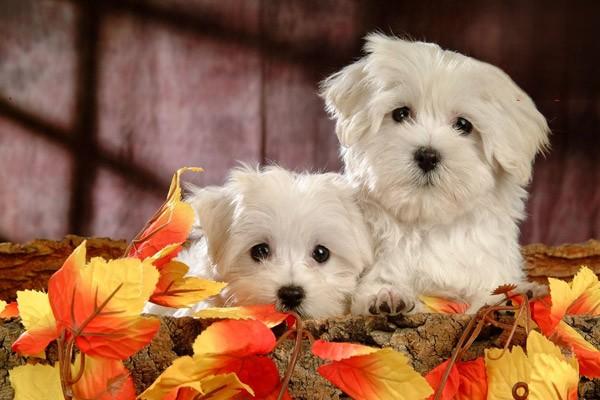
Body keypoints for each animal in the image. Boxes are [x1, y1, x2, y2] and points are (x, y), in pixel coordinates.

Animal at [322, 33, 552, 316]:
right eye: (400, 113)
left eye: (463, 125)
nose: (427, 156)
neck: (429, 224)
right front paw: (386, 295)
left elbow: (487, 294)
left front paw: (513, 295)